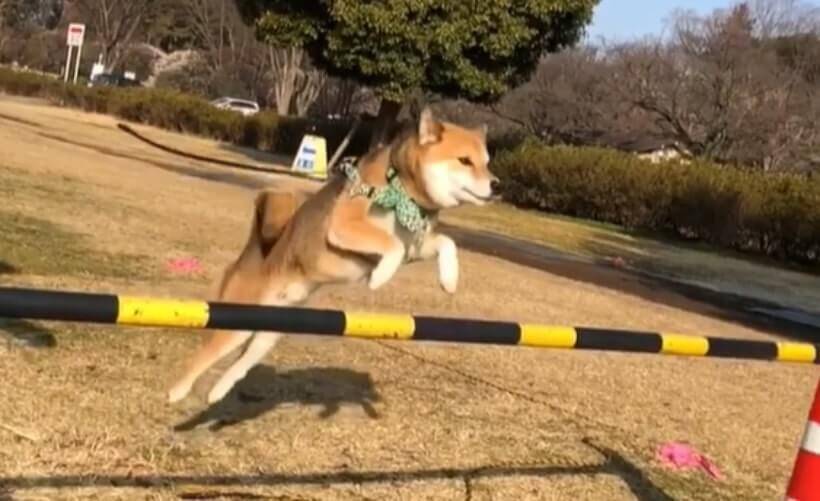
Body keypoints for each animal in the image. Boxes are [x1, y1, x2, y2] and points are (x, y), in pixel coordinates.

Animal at [167, 107, 500, 404]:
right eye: (465, 161)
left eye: (487, 163)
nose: (496, 185)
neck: (403, 188)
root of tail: (250, 254)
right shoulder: (344, 225)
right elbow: (391, 245)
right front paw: (380, 277)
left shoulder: (414, 246)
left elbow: (446, 242)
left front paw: (449, 280)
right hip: (235, 324)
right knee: (201, 358)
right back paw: (177, 392)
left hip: (269, 332)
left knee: (241, 364)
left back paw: (217, 393)